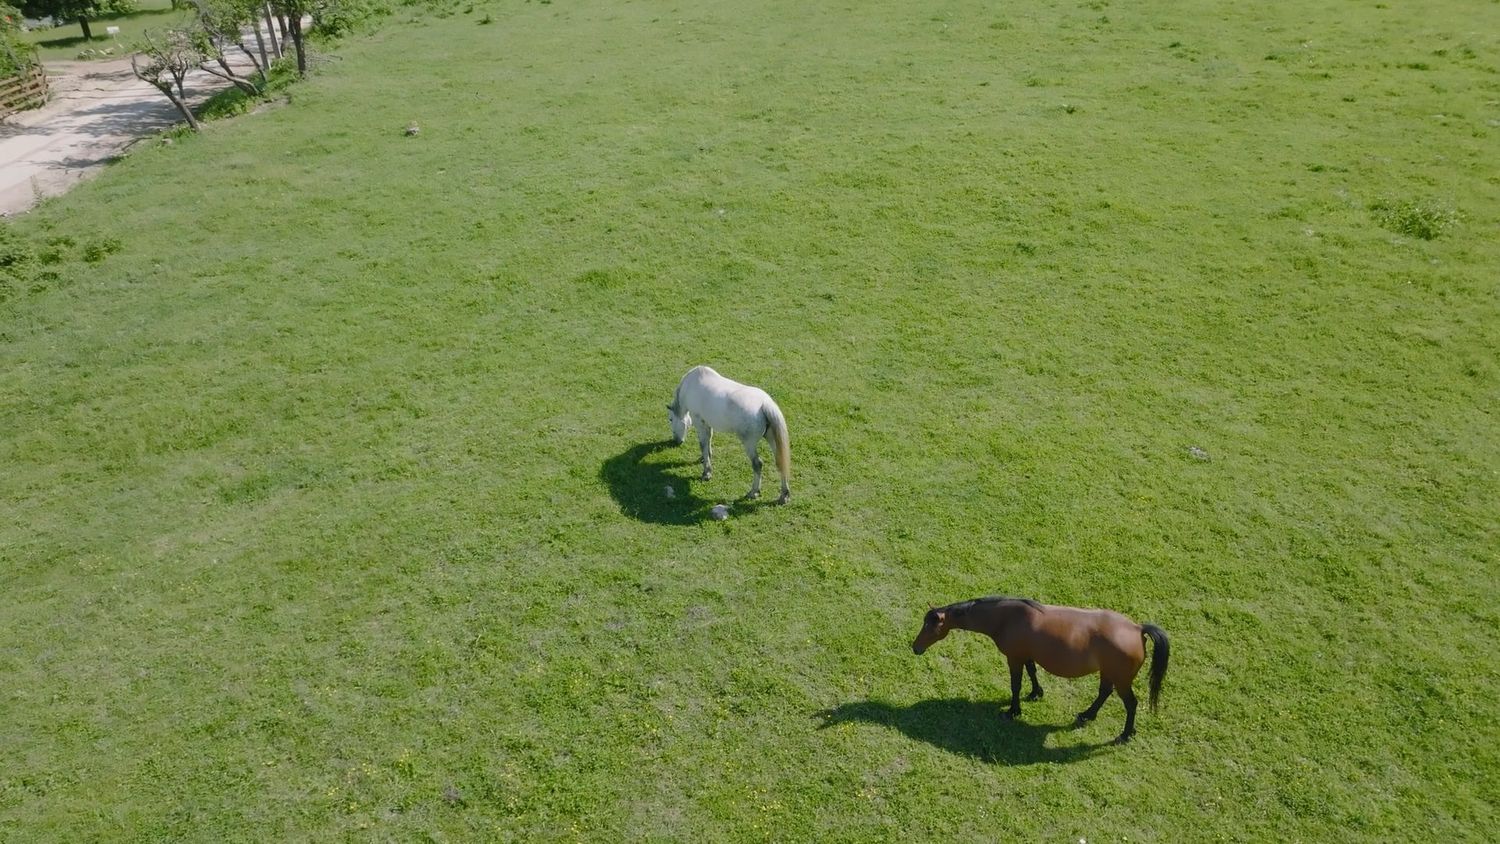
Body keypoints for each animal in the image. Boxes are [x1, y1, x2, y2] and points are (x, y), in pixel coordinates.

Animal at [667, 365, 791, 504]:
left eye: (671, 419)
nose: (676, 441)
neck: (691, 385)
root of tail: (765, 404)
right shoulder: (708, 423)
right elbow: (708, 442)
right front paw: (704, 459)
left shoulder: (699, 422)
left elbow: (703, 444)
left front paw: (706, 472)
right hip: (772, 439)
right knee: (780, 461)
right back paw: (784, 496)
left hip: (749, 443)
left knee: (757, 464)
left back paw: (753, 492)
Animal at [911, 596, 1169, 744]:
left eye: (930, 626)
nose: (915, 648)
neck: (1007, 617)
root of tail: (1137, 629)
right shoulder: (1026, 655)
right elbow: (1033, 673)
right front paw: (1036, 693)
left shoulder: (1014, 658)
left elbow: (1016, 684)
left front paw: (1013, 711)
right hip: (1108, 673)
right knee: (1104, 692)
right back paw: (1087, 715)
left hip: (1122, 680)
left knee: (1131, 704)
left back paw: (1125, 735)